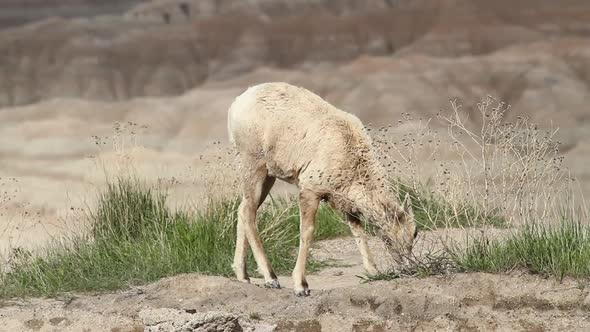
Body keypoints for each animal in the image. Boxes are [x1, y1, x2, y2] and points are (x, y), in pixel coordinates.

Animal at [229, 82, 418, 296]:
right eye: (388, 238)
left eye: (415, 232)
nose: (409, 268)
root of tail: (237, 104)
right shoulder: (310, 191)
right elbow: (307, 232)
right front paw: (301, 286)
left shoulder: (345, 201)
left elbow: (357, 230)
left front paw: (373, 271)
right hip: (255, 165)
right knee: (248, 212)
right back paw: (271, 278)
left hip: (267, 176)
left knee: (243, 209)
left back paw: (243, 276)